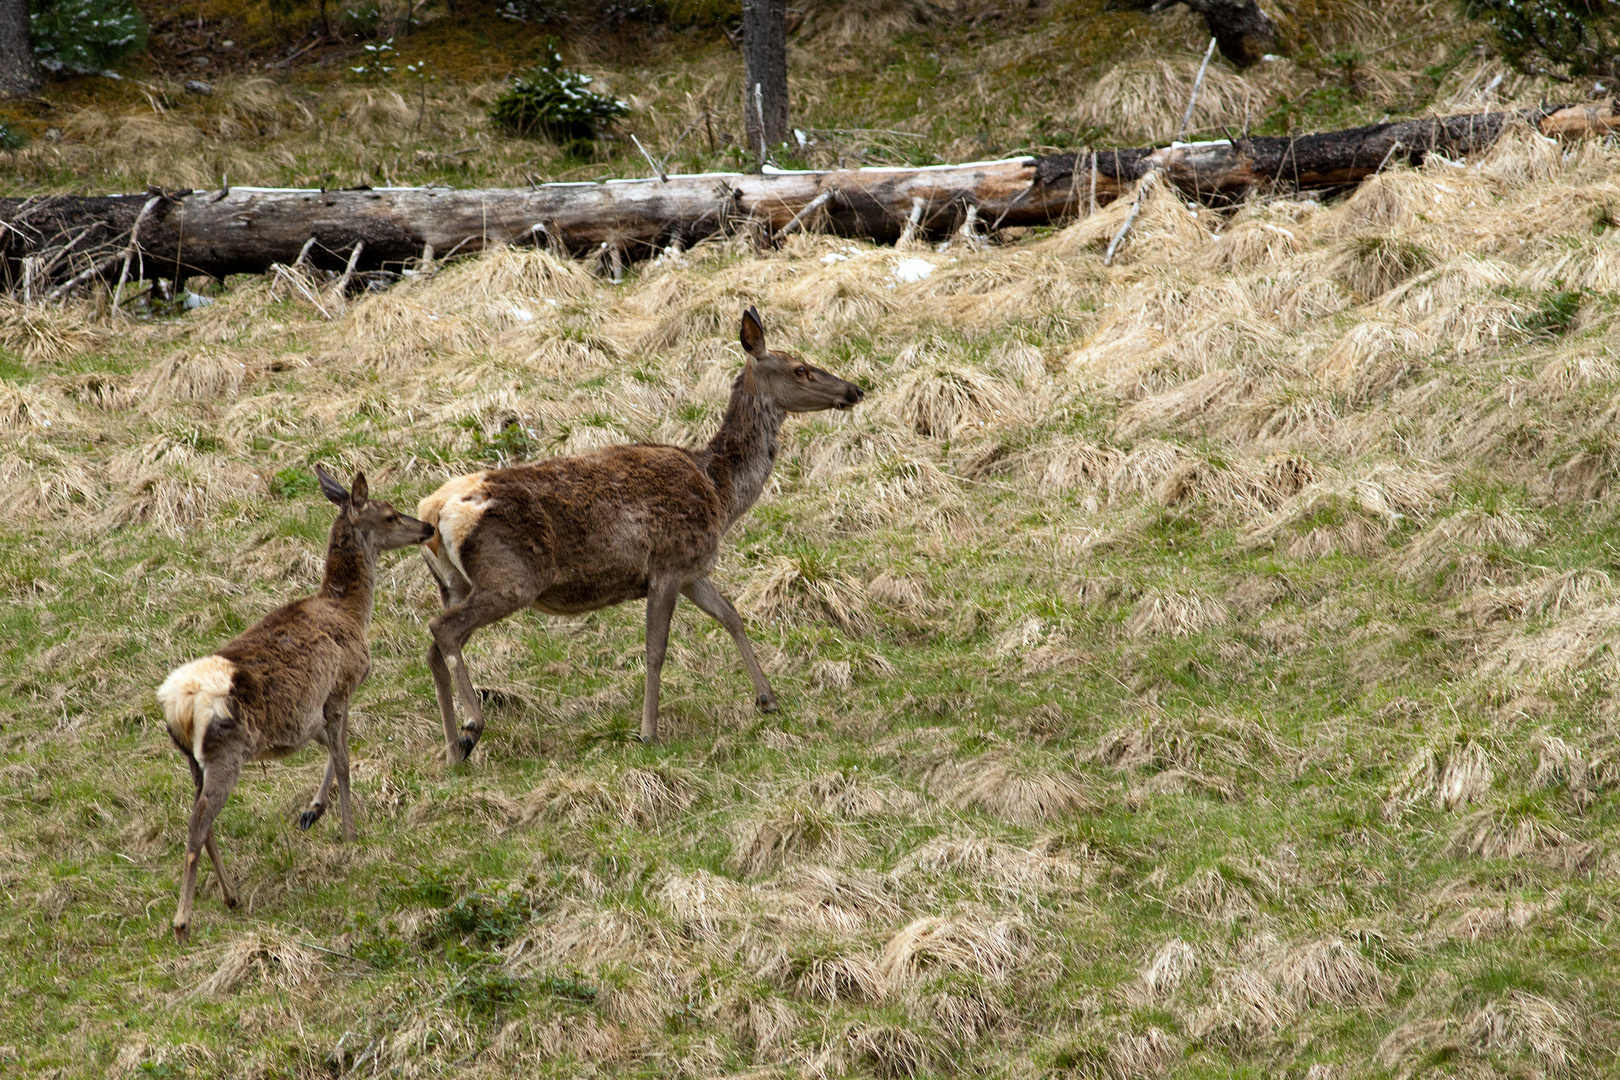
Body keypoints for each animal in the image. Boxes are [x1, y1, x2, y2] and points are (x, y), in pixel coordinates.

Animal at [158, 469, 434, 939]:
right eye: (391, 513)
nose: (427, 528)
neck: (351, 612)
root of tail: (178, 705)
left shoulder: (310, 712)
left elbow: (333, 752)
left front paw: (313, 811)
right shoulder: (341, 687)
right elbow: (344, 759)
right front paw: (349, 831)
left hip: (193, 760)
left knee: (201, 820)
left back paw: (232, 896)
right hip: (227, 750)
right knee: (198, 825)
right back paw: (182, 921)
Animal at [424, 306, 868, 761]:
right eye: (801, 369)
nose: (854, 389)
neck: (720, 492)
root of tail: (435, 511)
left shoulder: (692, 570)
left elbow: (731, 615)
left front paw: (768, 699)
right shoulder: (668, 563)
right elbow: (656, 649)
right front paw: (648, 732)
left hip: (455, 583)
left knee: (434, 648)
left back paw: (453, 748)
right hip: (512, 577)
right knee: (444, 630)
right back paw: (472, 726)